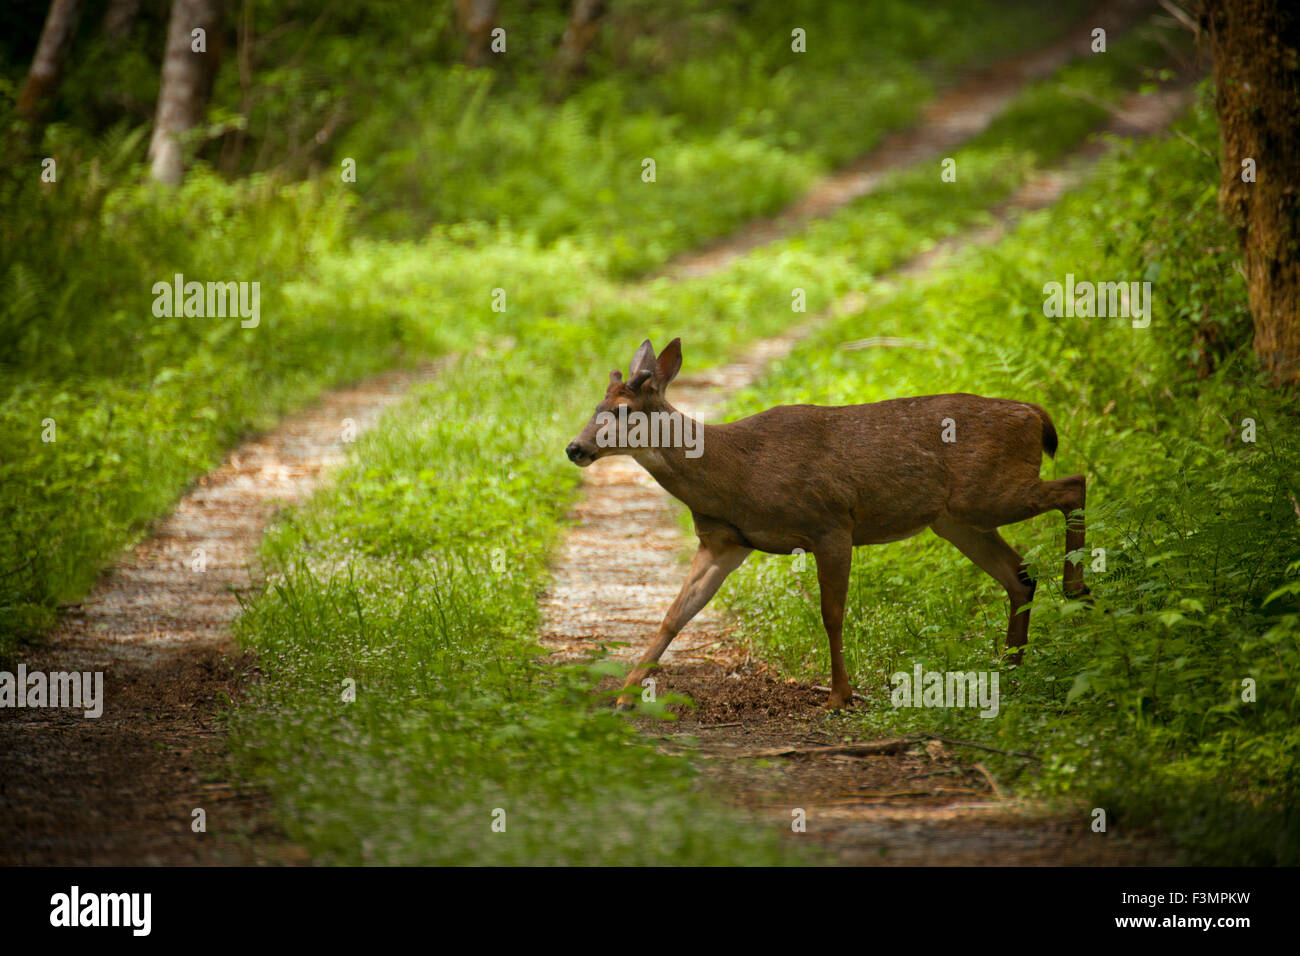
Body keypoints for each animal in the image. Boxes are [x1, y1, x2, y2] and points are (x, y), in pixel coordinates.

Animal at [564, 338, 1092, 712]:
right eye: (595, 409)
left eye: (623, 411)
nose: (575, 448)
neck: (735, 473)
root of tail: (1034, 414)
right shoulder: (726, 542)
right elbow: (675, 614)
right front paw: (625, 694)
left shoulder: (830, 523)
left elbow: (832, 614)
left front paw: (840, 695)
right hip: (957, 520)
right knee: (1020, 575)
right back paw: (1011, 668)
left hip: (987, 494)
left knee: (1075, 483)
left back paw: (1077, 590)